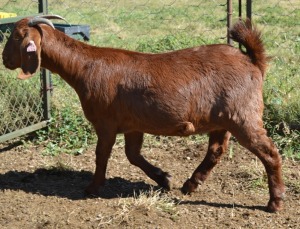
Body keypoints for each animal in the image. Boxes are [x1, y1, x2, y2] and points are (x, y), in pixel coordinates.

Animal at [2, 16, 284, 213]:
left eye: (15, 37)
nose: (4, 60)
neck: (84, 66)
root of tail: (252, 62)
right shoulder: (133, 125)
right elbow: (133, 155)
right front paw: (164, 179)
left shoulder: (105, 122)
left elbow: (101, 155)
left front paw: (92, 188)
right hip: (221, 119)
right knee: (216, 150)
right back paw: (190, 184)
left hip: (243, 115)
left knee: (270, 153)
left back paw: (275, 202)